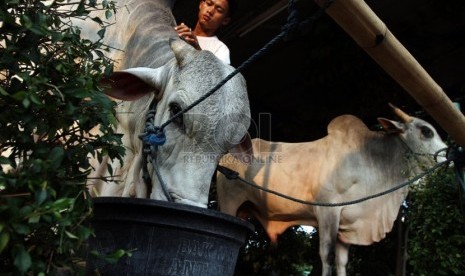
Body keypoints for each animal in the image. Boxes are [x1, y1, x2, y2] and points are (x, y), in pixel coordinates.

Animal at [217, 105, 446, 274]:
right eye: (426, 131)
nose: (446, 159)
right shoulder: (327, 211)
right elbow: (327, 256)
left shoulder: (347, 223)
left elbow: (342, 262)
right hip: (229, 203)